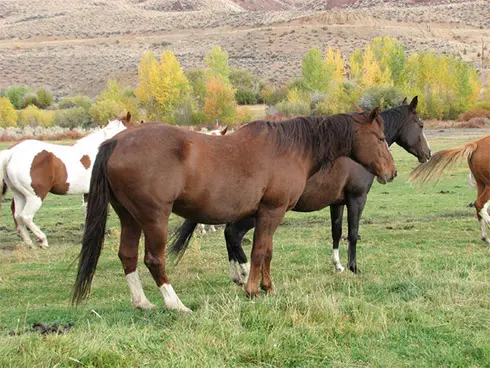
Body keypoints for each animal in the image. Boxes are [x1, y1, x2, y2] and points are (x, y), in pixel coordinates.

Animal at [0, 112, 134, 249]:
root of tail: (11, 153)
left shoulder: (88, 193)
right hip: (34, 196)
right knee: (25, 216)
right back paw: (43, 240)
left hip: (20, 195)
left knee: (18, 216)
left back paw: (30, 243)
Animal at [73, 108, 398, 312]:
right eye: (381, 138)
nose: (392, 172)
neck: (290, 148)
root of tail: (115, 142)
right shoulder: (271, 211)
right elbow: (258, 251)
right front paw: (252, 290)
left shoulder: (270, 214)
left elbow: (267, 252)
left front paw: (268, 287)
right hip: (154, 218)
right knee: (154, 260)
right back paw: (176, 304)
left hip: (130, 217)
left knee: (127, 256)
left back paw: (142, 303)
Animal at [169, 95, 432, 282]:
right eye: (420, 125)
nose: (428, 154)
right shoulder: (356, 199)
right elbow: (353, 233)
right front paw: (353, 267)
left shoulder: (336, 203)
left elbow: (336, 232)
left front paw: (337, 265)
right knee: (233, 233)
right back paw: (243, 273)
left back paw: (237, 274)